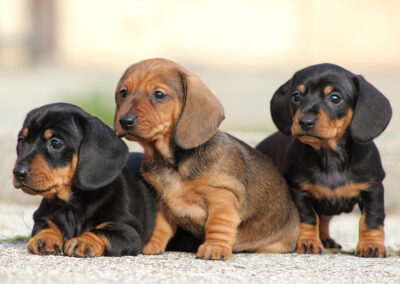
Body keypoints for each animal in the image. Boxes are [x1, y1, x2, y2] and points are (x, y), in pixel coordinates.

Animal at [12, 102, 158, 258]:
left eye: (56, 143)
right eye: (21, 140)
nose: (18, 173)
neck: (72, 205)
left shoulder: (127, 230)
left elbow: (100, 231)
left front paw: (84, 241)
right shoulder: (42, 218)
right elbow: (47, 227)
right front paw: (44, 238)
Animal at [114, 58, 298, 262]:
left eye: (159, 94)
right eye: (123, 93)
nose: (125, 121)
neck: (172, 164)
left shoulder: (222, 196)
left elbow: (217, 224)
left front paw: (215, 247)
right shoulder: (162, 202)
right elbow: (160, 226)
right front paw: (152, 245)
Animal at [256, 63, 390, 258]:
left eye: (335, 98)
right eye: (296, 96)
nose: (305, 121)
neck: (330, 156)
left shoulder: (372, 189)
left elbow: (371, 220)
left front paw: (371, 246)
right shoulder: (299, 191)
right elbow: (309, 218)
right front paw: (308, 242)